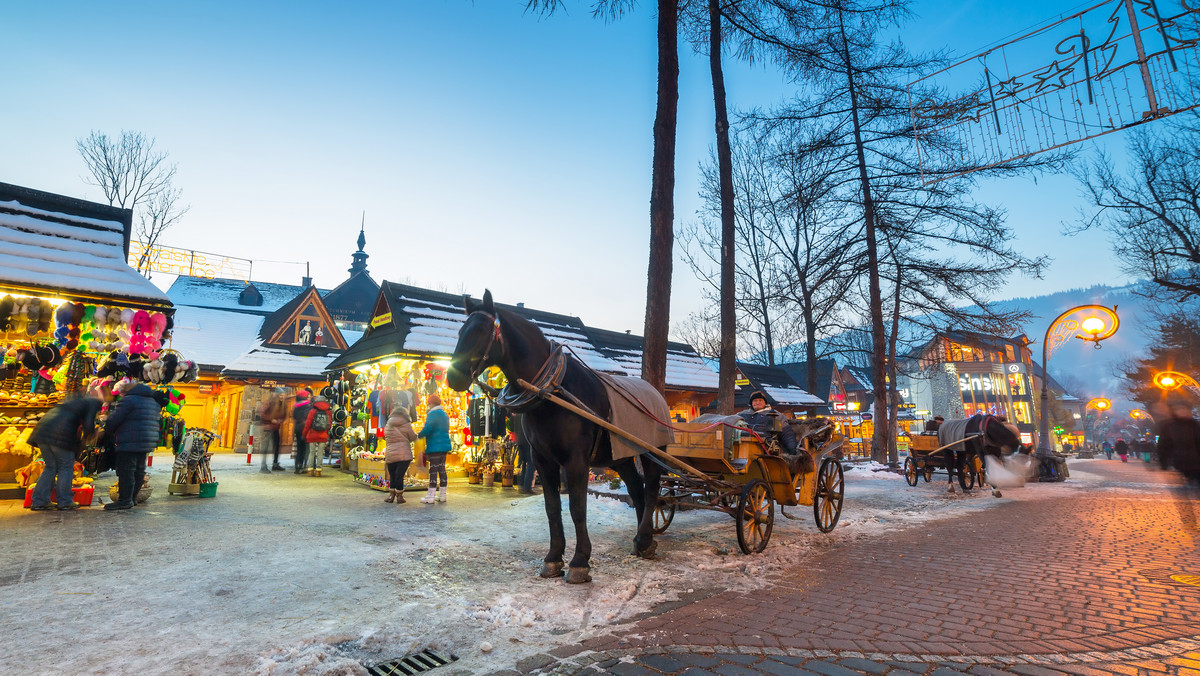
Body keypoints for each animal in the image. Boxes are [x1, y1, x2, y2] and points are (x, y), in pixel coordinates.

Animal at [446, 289, 667, 581]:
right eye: (461, 331)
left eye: (481, 331)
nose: (453, 377)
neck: (551, 392)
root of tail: (654, 393)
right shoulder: (542, 460)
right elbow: (552, 508)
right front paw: (553, 558)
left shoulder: (576, 461)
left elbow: (577, 507)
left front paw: (580, 561)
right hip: (621, 456)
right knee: (636, 488)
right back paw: (642, 542)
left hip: (653, 451)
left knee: (651, 487)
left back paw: (645, 538)